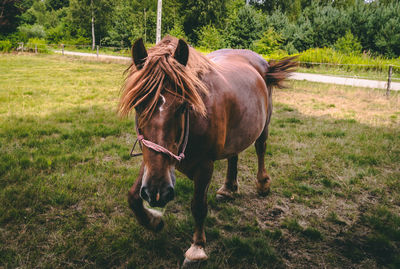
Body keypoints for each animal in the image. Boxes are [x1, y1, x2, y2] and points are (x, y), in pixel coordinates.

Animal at [117, 35, 296, 262]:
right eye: (138, 105)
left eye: (182, 106)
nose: (157, 193)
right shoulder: (153, 161)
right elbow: (133, 197)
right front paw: (154, 221)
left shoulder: (203, 166)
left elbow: (199, 206)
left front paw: (197, 248)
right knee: (233, 155)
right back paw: (228, 188)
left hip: (264, 124)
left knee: (261, 148)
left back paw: (263, 184)